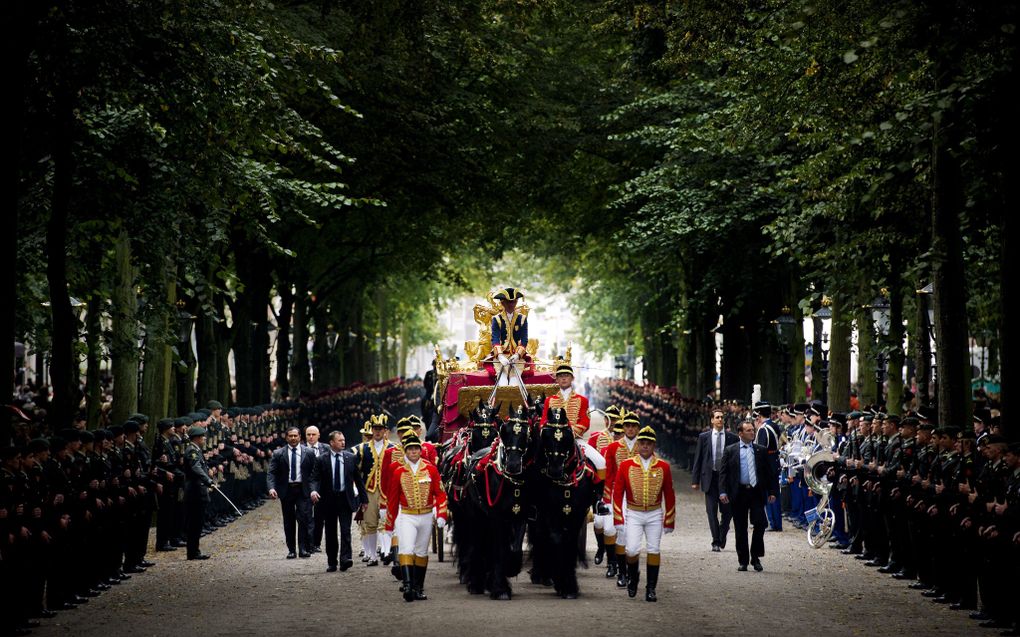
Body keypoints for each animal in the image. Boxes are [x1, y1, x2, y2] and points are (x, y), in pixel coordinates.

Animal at [465, 405, 534, 599]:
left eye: (526, 432)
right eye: (505, 432)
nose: (513, 465)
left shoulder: (521, 515)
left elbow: (514, 548)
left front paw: (511, 568)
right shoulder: (497, 516)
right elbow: (499, 549)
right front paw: (500, 588)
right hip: (476, 514)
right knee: (477, 543)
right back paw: (476, 583)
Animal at [530, 407, 595, 595]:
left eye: (567, 437)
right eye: (546, 436)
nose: (555, 470)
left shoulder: (578, 513)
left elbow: (570, 541)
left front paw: (569, 584)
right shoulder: (549, 513)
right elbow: (556, 539)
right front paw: (563, 583)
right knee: (540, 536)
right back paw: (542, 574)